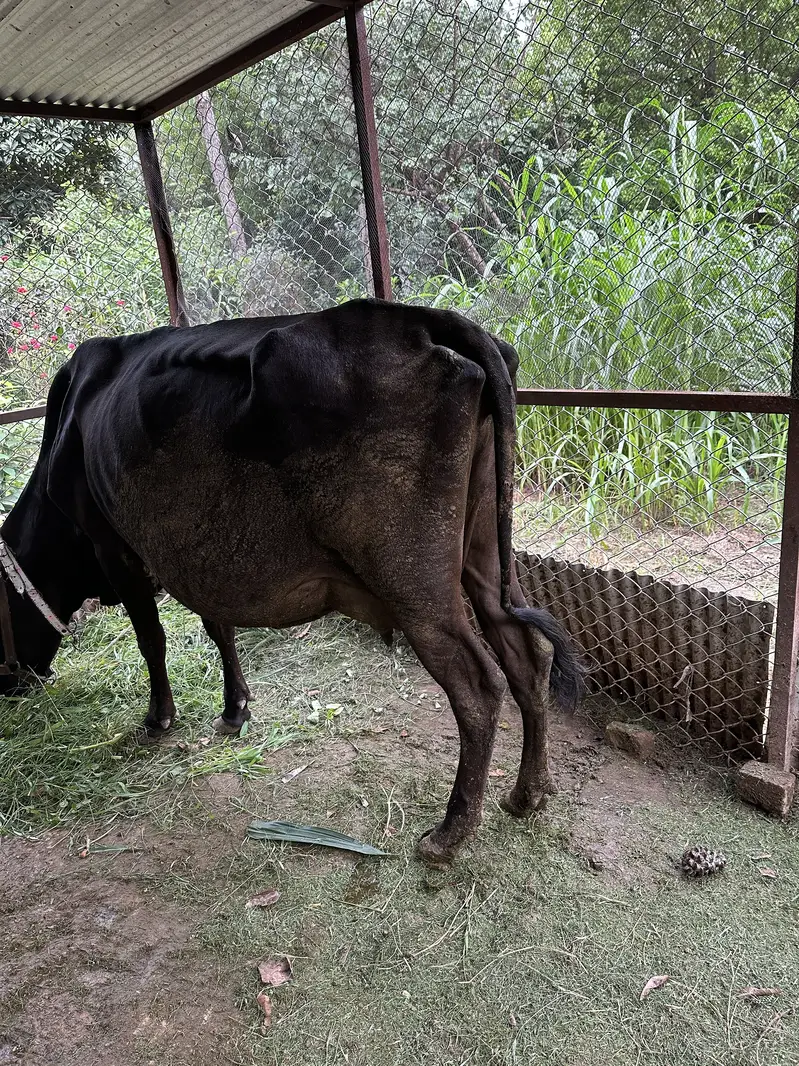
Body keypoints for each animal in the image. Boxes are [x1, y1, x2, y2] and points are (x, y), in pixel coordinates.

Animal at [0, 299, 582, 865]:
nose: (12, 686)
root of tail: (422, 318)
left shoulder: (113, 544)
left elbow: (152, 639)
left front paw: (158, 719)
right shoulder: (198, 556)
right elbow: (218, 626)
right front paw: (234, 710)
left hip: (413, 579)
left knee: (479, 685)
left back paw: (449, 834)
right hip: (484, 548)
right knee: (525, 653)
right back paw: (528, 794)